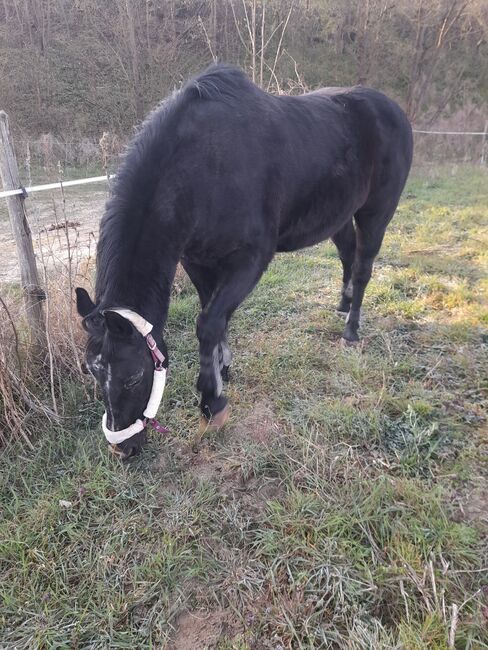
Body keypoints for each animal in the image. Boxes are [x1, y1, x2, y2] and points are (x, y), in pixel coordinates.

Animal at [75, 60, 412, 456]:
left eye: (133, 377)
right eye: (92, 372)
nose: (122, 448)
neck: (204, 167)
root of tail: (393, 108)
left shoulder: (251, 259)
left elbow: (209, 322)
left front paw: (212, 403)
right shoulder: (196, 259)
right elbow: (216, 316)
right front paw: (223, 369)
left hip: (376, 213)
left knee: (361, 269)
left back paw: (351, 330)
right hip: (340, 215)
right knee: (347, 256)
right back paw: (342, 306)